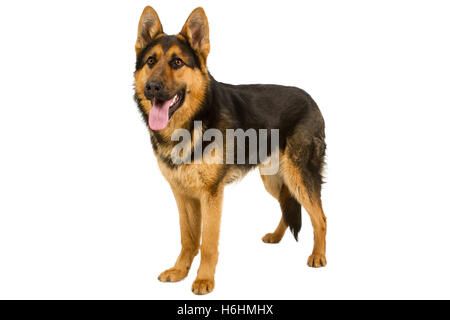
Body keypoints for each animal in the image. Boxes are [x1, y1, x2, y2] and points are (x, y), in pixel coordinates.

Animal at [134, 6, 326, 296]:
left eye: (177, 62)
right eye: (150, 61)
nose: (152, 87)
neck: (193, 122)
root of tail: (312, 99)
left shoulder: (212, 195)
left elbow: (207, 243)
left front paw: (204, 280)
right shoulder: (183, 194)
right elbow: (188, 238)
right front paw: (180, 271)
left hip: (299, 177)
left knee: (320, 217)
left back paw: (319, 256)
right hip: (273, 180)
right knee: (286, 204)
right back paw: (276, 236)